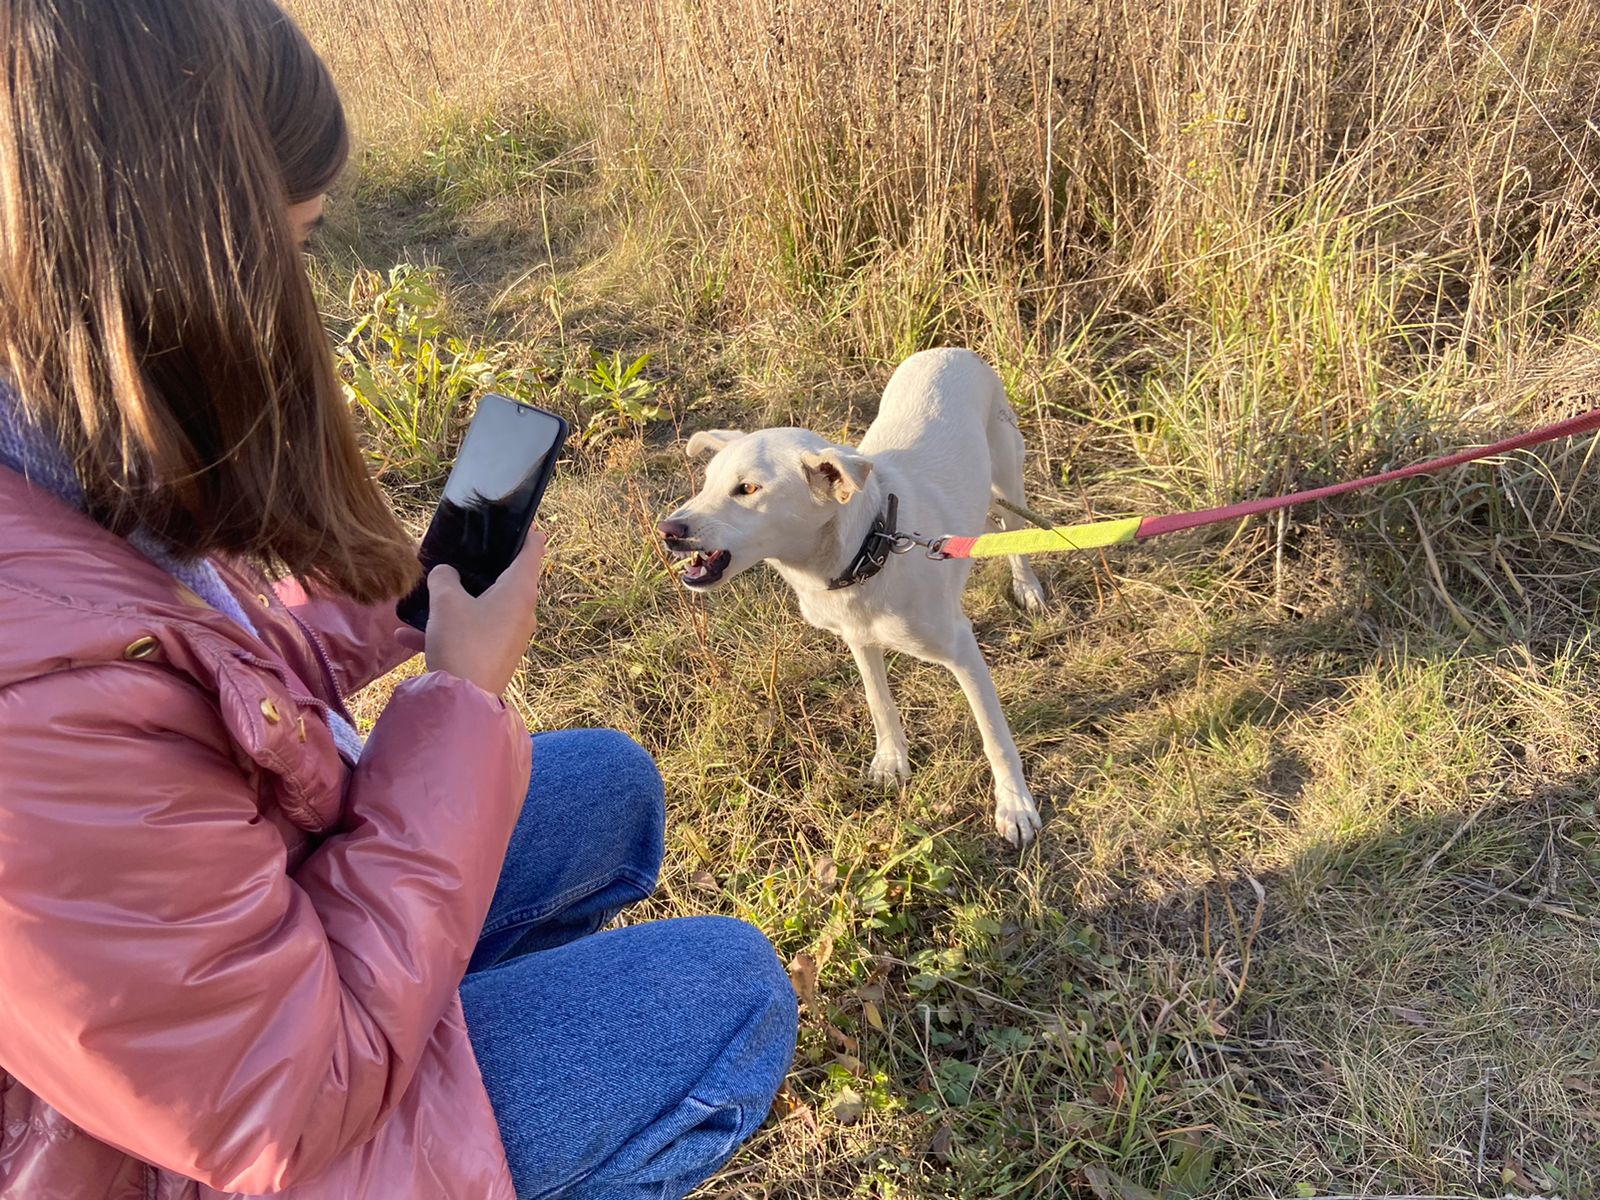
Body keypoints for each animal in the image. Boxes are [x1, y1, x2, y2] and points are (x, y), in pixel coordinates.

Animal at [659, 350, 1049, 844]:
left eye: (747, 489)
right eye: (707, 482)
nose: (667, 531)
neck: (871, 544)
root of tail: (952, 351)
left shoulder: (963, 651)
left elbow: (995, 736)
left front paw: (1014, 805)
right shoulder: (858, 639)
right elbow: (879, 703)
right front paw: (891, 761)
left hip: (1007, 478)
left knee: (1016, 534)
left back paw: (1026, 586)